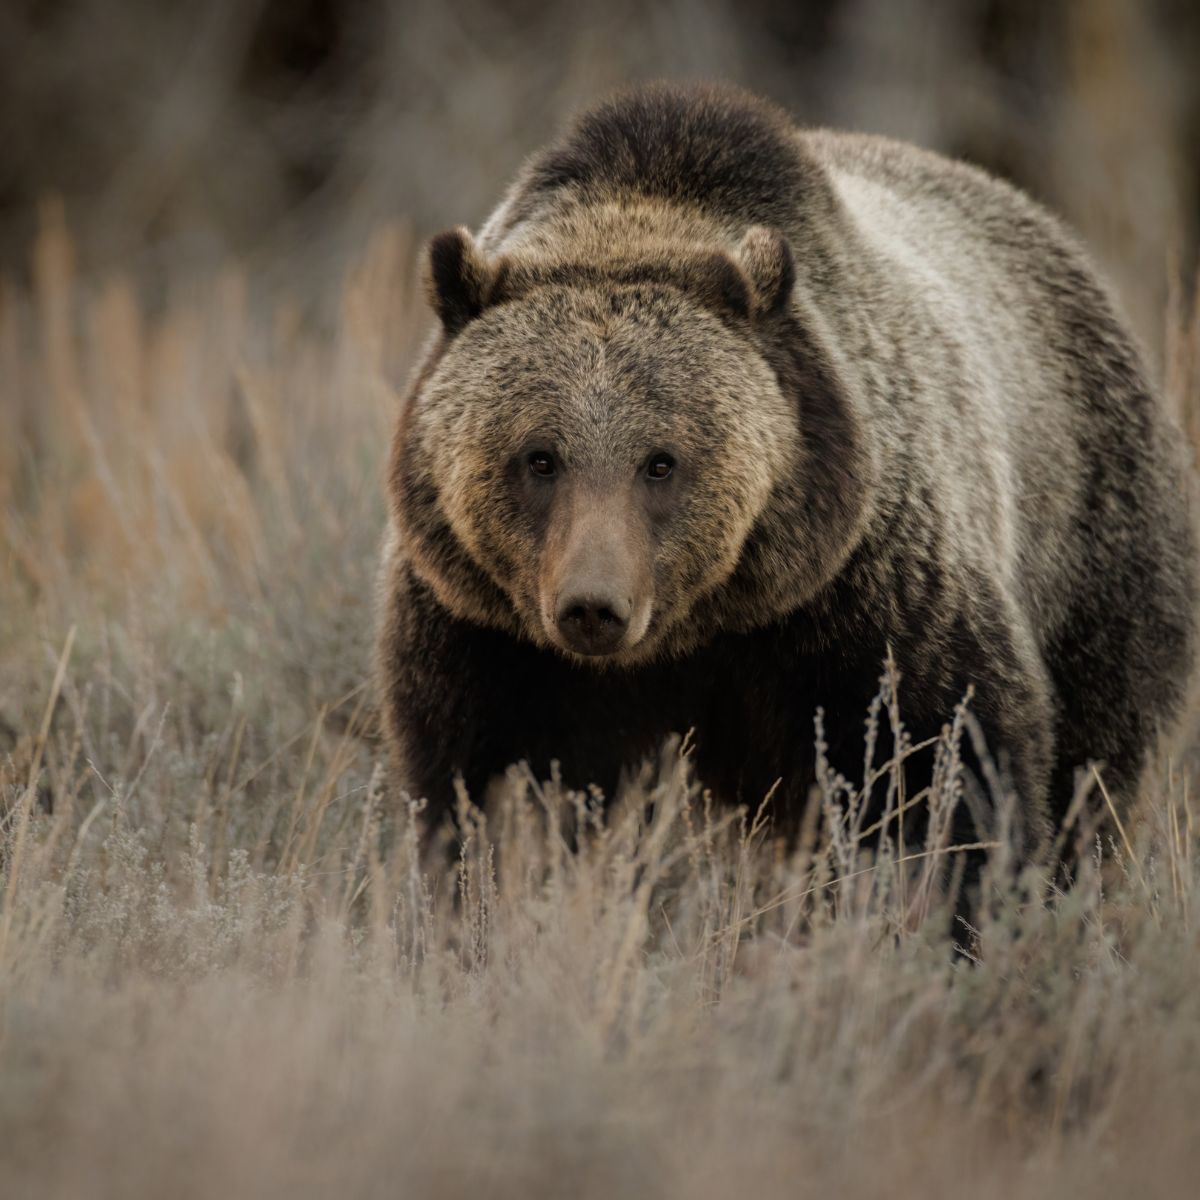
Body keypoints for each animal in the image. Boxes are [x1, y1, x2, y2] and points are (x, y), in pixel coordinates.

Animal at [374, 82, 1190, 854]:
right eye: (539, 457)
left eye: (661, 462)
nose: (593, 607)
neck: (697, 631)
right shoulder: (484, 636)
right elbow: (483, 788)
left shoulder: (866, 596)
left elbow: (950, 763)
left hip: (1094, 542)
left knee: (1099, 755)